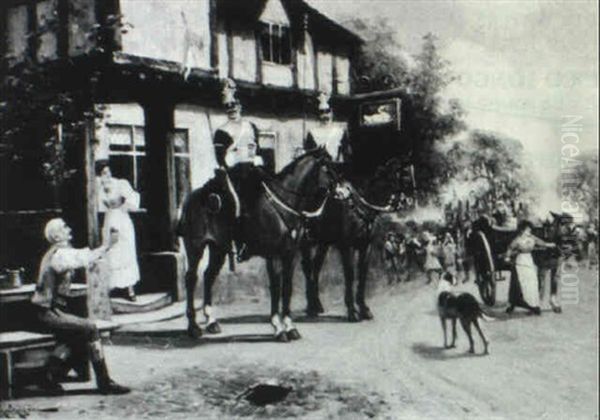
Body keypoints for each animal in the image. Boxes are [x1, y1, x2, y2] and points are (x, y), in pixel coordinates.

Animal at [177, 148, 338, 342]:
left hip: (218, 249)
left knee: (208, 276)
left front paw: (290, 327)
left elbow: (287, 288)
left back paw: (211, 322)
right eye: (328, 167)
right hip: (196, 247)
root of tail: (191, 198)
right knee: (191, 279)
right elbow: (276, 288)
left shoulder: (290, 255)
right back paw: (193, 327)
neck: (284, 203)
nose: (343, 190)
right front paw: (278, 328)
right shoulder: (273, 256)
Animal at [298, 159, 414, 320]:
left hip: (323, 243)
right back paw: (311, 306)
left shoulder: (366, 246)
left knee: (316, 268)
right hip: (306, 242)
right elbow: (350, 274)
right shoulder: (347, 247)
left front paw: (364, 308)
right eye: (404, 175)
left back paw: (317, 305)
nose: (408, 201)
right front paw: (352, 310)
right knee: (308, 268)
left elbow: (362, 274)